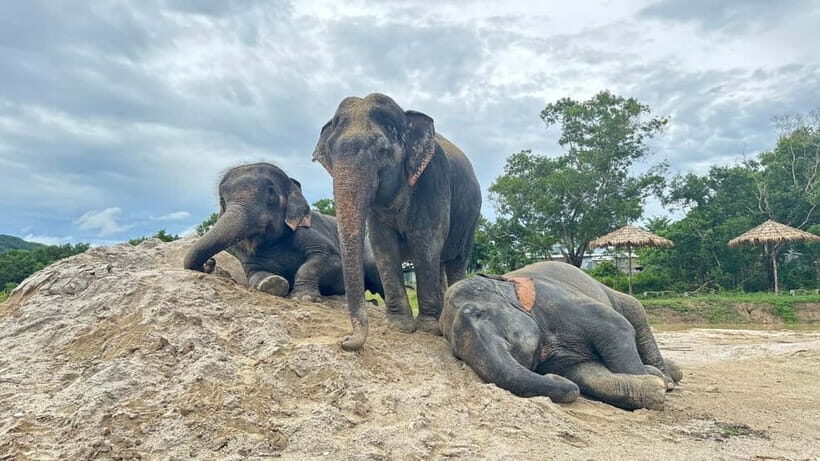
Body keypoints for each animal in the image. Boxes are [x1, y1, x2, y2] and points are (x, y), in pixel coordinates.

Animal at [183, 163, 384, 301]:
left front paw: (304, 298)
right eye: (222, 200)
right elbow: (254, 274)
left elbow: (327, 259)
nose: (210, 263)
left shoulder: (307, 231)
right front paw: (273, 283)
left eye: (271, 195)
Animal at [312, 93, 482, 351]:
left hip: (471, 217)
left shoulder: (433, 180)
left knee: (456, 260)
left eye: (382, 150)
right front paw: (400, 326)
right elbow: (383, 245)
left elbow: (426, 242)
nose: (345, 340)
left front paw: (428, 329)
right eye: (330, 152)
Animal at [440, 261, 683, 410]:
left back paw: (667, 377)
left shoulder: (555, 299)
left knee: (636, 312)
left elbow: (616, 327)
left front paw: (660, 384)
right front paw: (654, 387)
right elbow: (586, 374)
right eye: (456, 354)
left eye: (478, 313)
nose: (552, 377)